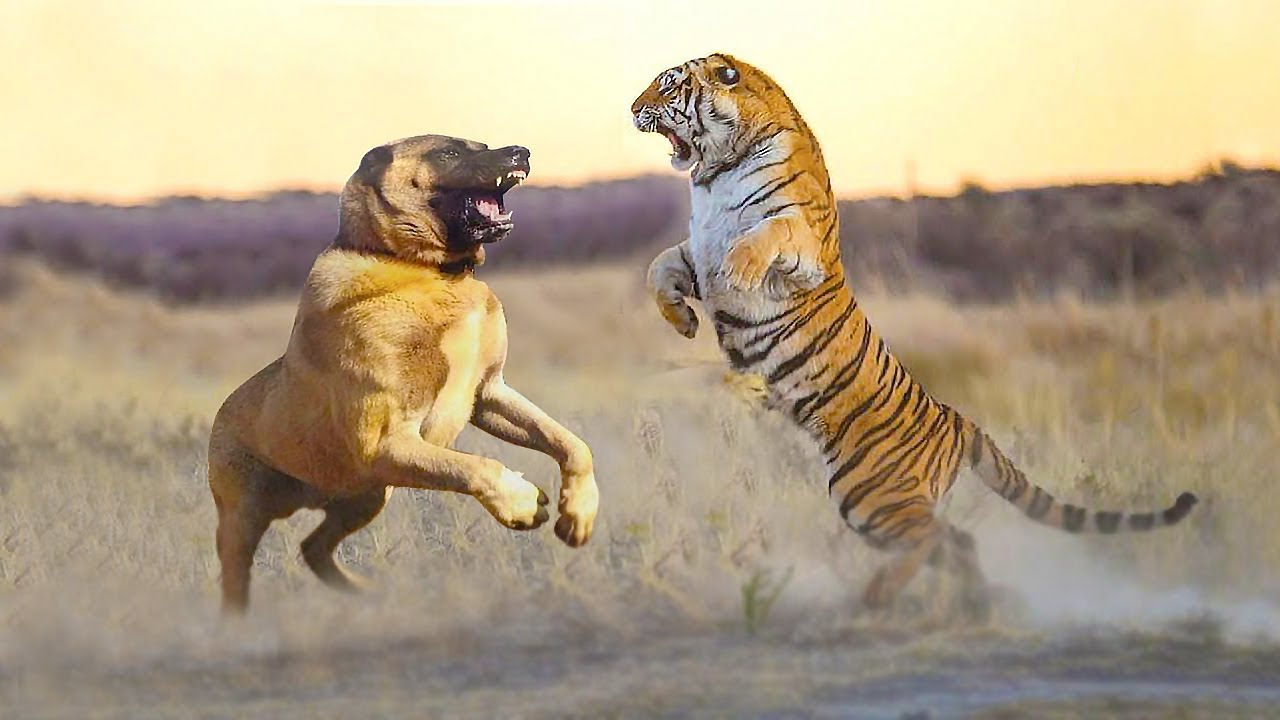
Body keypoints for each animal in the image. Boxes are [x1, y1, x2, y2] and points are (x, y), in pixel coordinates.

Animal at [208, 135, 599, 613]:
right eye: (449, 153)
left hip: (367, 496)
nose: (520, 152)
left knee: (313, 546)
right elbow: (477, 467)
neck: (431, 272)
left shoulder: (490, 394)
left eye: (484, 145)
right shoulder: (387, 439)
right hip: (244, 519)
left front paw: (578, 513)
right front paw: (520, 502)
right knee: (238, 577)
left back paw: (364, 594)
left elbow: (572, 444)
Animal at [631, 53, 1198, 612]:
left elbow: (767, 234)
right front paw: (682, 321)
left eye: (669, 86)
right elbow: (659, 267)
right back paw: (972, 598)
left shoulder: (802, 244)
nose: (633, 108)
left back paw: (879, 597)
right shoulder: (694, 250)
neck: (716, 171)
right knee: (955, 540)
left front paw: (739, 271)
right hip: (876, 503)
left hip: (867, 493)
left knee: (933, 537)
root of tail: (958, 421)